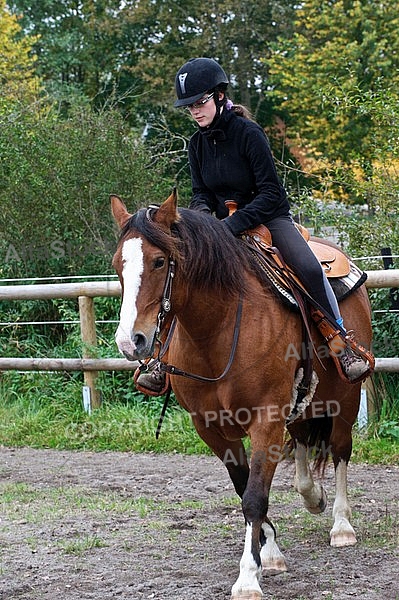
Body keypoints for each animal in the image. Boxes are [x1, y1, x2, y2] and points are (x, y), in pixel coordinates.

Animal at [110, 189, 376, 600]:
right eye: (117, 265)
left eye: (159, 261)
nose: (130, 341)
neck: (217, 332)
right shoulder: (210, 427)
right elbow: (243, 487)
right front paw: (269, 550)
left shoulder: (266, 419)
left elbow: (254, 496)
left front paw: (248, 577)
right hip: (301, 402)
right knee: (303, 445)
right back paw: (312, 496)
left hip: (346, 400)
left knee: (341, 451)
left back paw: (341, 525)